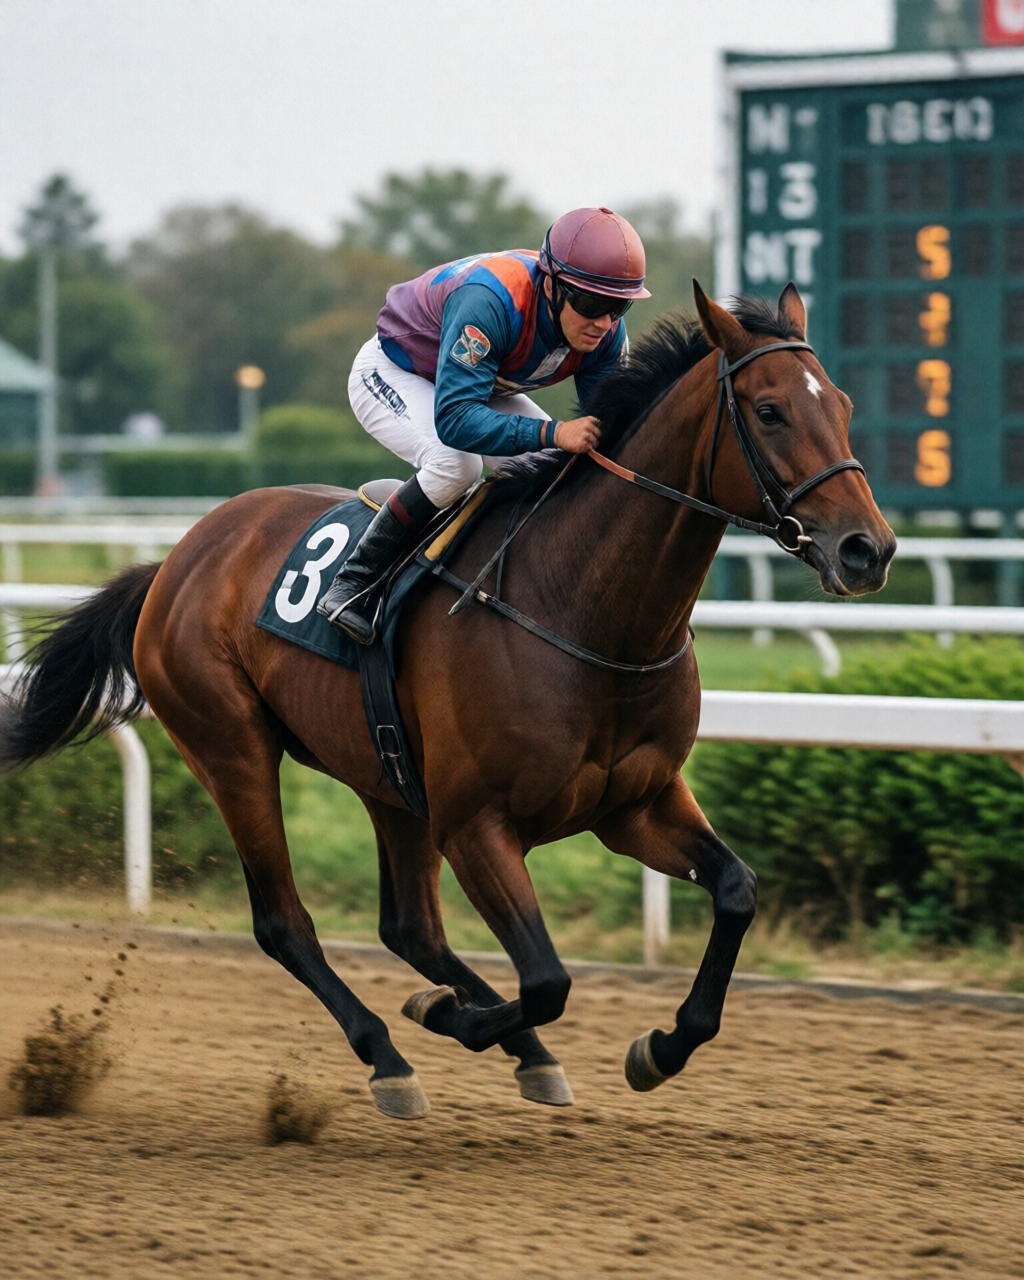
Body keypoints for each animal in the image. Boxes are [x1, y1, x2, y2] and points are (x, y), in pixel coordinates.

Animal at [0, 283, 895, 1120]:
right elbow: (546, 978)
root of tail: (176, 560)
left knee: (409, 927)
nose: (869, 549)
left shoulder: (634, 804)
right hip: (232, 749)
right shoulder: (477, 826)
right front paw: (449, 1018)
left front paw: (661, 1045)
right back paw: (391, 1056)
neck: (582, 609)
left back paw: (513, 1049)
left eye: (844, 405)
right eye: (770, 412)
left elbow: (736, 892)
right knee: (287, 923)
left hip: (388, 776)